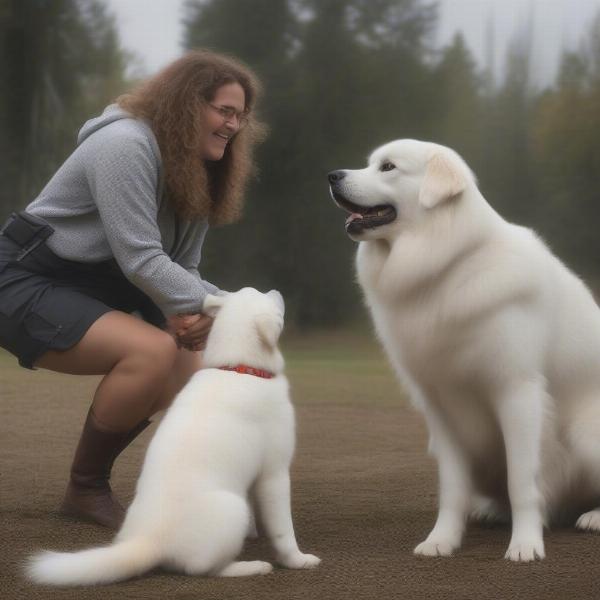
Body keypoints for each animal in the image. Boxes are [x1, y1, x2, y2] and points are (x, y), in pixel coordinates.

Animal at [27, 288, 322, 584]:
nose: (276, 290)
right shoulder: (275, 472)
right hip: (231, 507)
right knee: (203, 569)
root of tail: (151, 540)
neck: (239, 368)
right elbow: (283, 530)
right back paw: (250, 566)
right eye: (265, 296)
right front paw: (298, 560)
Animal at [330, 141, 600, 564]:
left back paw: (592, 517)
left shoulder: (517, 392)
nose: (332, 176)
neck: (448, 267)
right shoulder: (441, 407)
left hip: (585, 435)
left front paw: (525, 544)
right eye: (370, 163)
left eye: (388, 167)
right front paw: (442, 539)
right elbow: (453, 488)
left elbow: (522, 480)